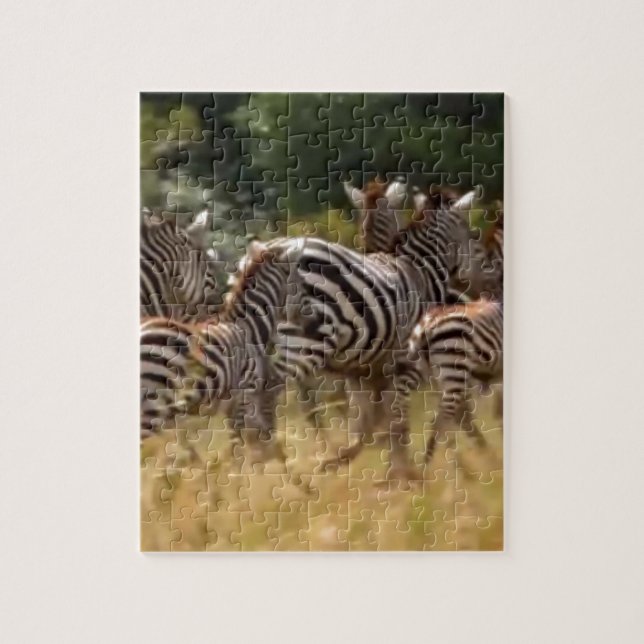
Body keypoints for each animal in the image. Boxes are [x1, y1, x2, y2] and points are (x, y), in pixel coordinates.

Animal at [140, 238, 303, 458]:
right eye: (300, 282)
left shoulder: (234, 404)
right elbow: (243, 446)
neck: (247, 328)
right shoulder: (245, 396)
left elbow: (242, 445)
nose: (302, 317)